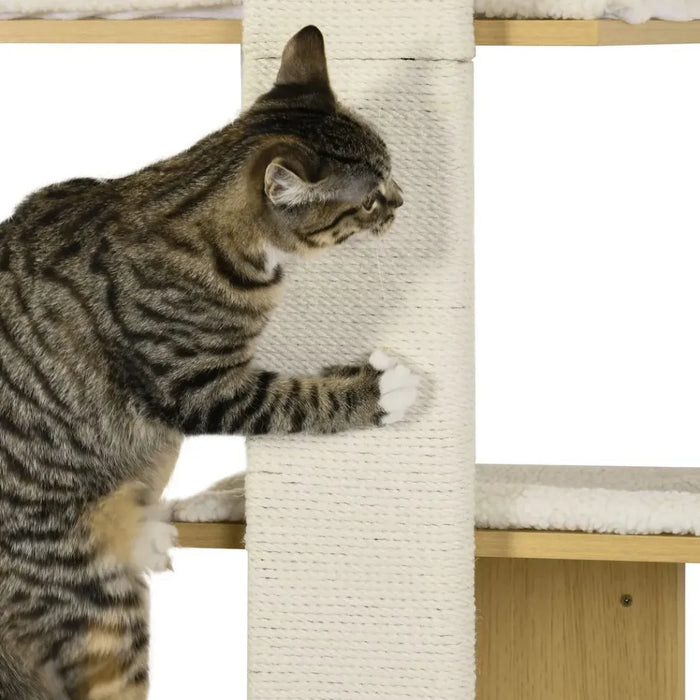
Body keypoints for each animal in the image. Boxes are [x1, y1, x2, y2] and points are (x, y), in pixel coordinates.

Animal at [0, 24, 416, 696]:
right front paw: (381, 389)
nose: (402, 200)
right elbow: (295, 401)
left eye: (391, 179)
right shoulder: (196, 386)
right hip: (94, 600)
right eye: (372, 200)